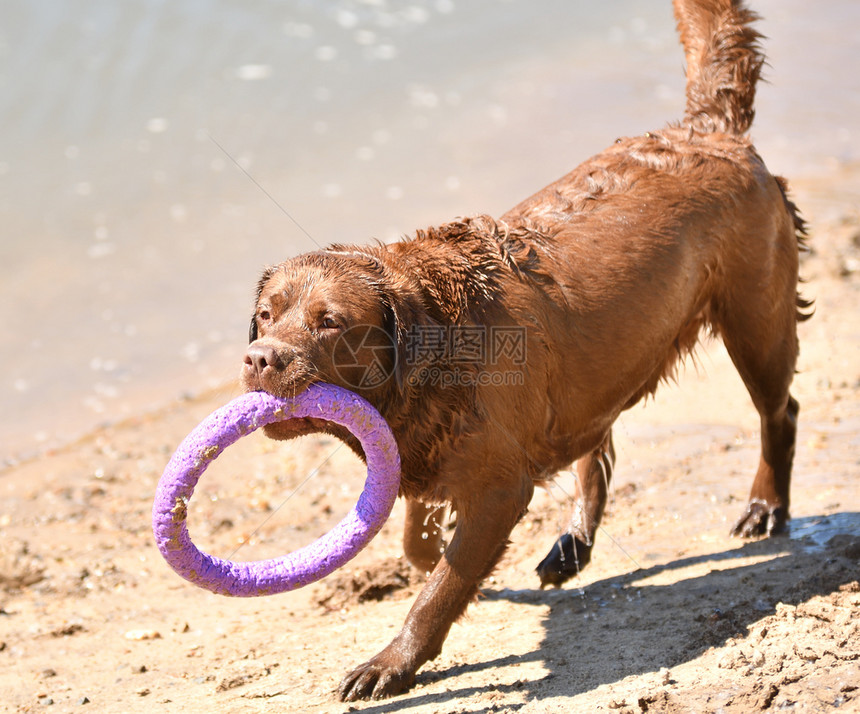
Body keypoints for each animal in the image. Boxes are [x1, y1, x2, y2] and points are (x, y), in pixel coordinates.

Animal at [240, 0, 808, 700]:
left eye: (330, 323)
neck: (438, 354)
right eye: (265, 316)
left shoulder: (500, 487)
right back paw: (574, 544)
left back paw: (765, 507)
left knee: (778, 411)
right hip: (602, 360)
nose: (262, 358)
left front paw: (392, 663)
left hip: (756, 321)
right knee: (597, 446)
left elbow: (439, 586)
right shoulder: (434, 452)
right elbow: (421, 547)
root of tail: (706, 130)